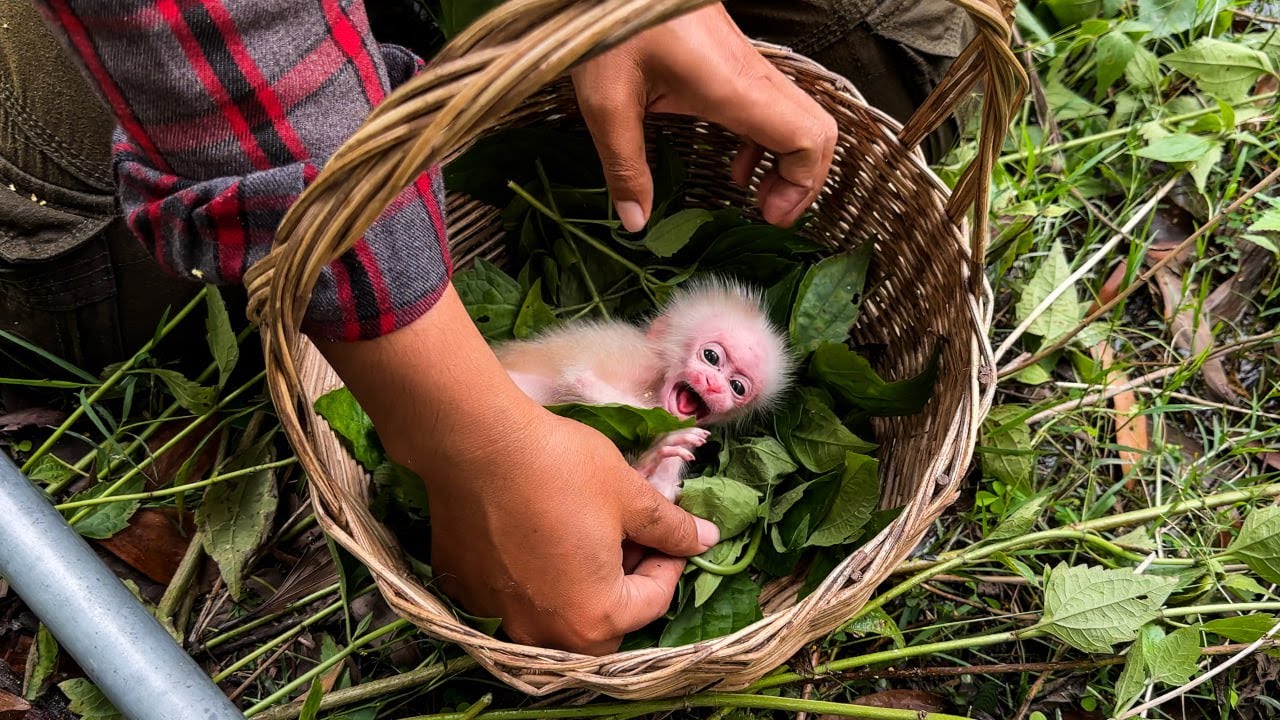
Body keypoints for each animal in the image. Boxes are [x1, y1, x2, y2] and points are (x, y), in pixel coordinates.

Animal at [494, 277, 795, 500]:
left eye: (737, 387)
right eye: (711, 357)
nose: (713, 386)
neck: (658, 379)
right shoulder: (636, 358)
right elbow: (580, 379)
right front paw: (671, 435)